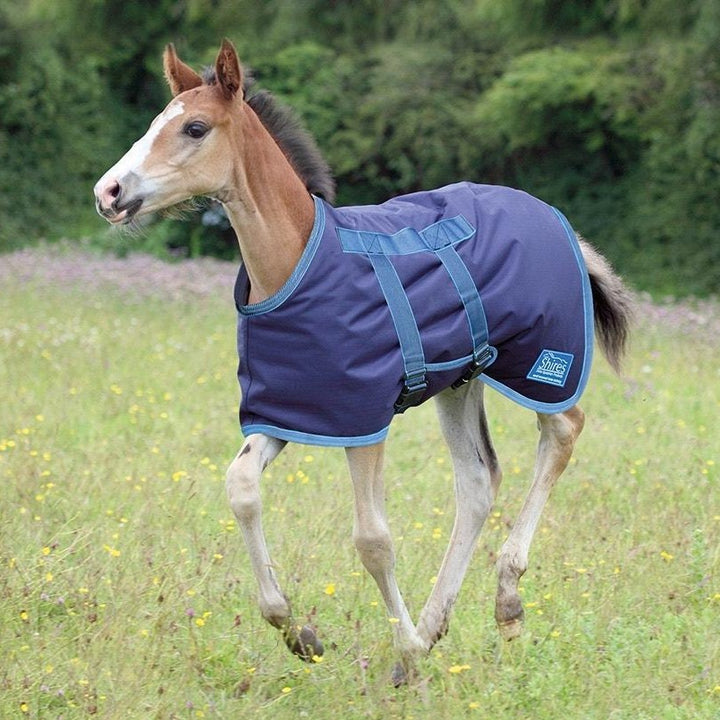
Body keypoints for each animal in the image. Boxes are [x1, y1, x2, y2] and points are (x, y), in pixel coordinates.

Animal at [94, 39, 633, 683]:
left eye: (194, 128)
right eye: (156, 121)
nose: (109, 193)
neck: (296, 263)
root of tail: (558, 223)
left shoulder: (363, 419)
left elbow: (373, 539)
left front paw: (404, 653)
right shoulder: (293, 410)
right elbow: (241, 486)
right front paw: (299, 632)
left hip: (542, 361)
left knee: (564, 430)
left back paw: (504, 601)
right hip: (461, 378)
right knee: (479, 479)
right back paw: (435, 625)